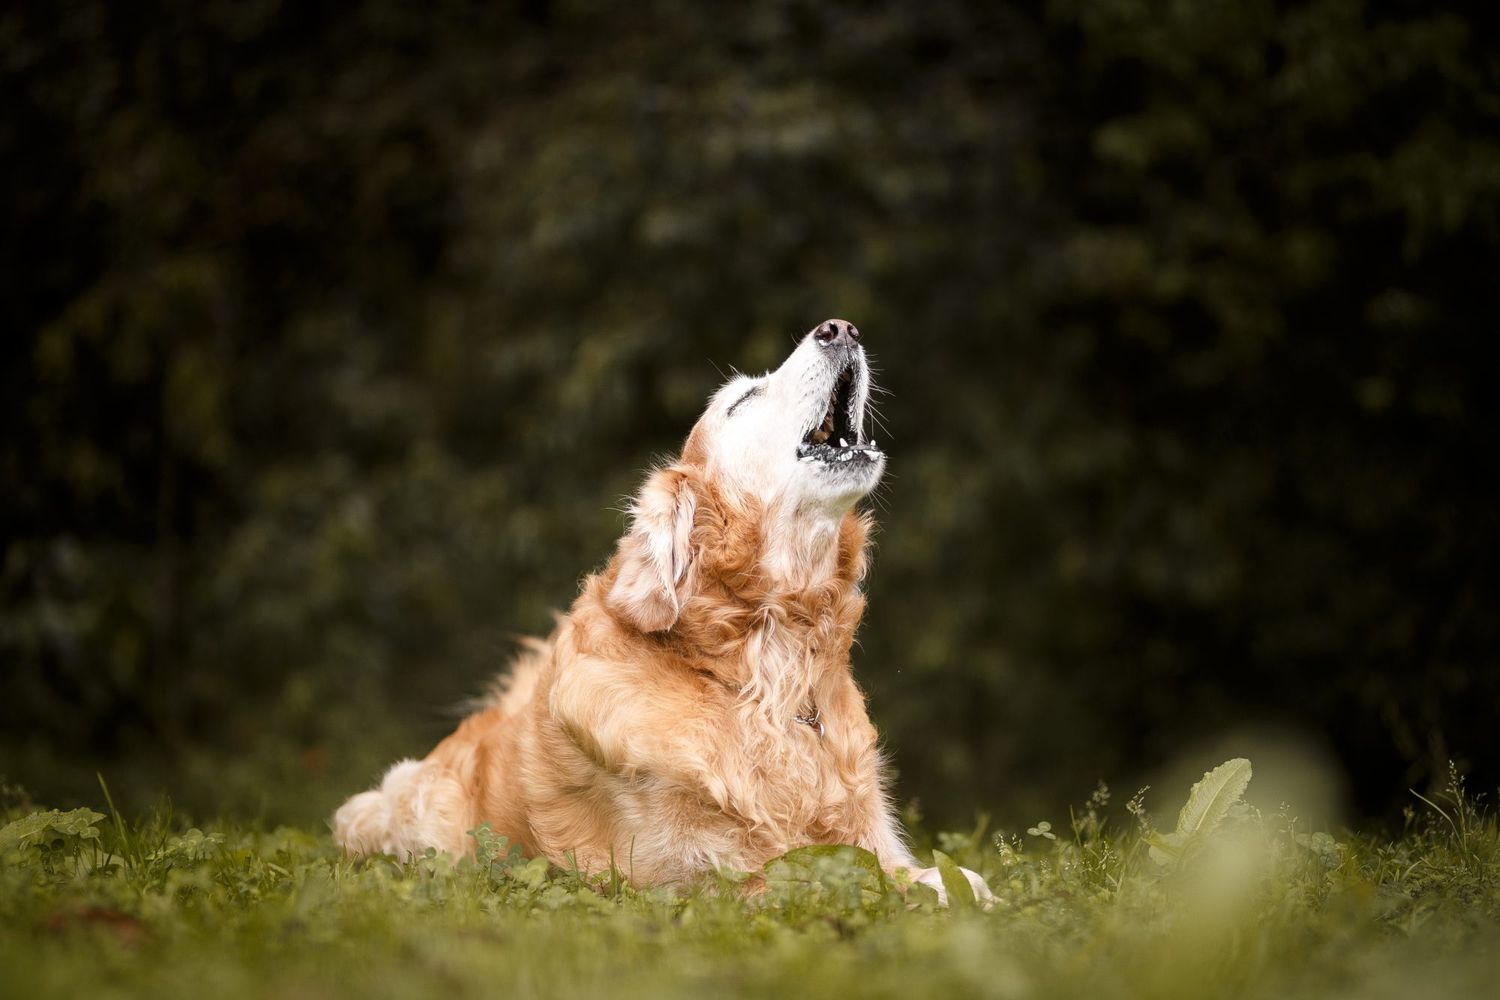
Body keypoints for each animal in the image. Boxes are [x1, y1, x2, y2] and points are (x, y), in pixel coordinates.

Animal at [333, 322, 990, 905]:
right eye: (742, 400)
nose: (841, 328)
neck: (765, 672)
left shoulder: (870, 836)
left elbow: (935, 873)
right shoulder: (691, 877)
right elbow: (830, 881)